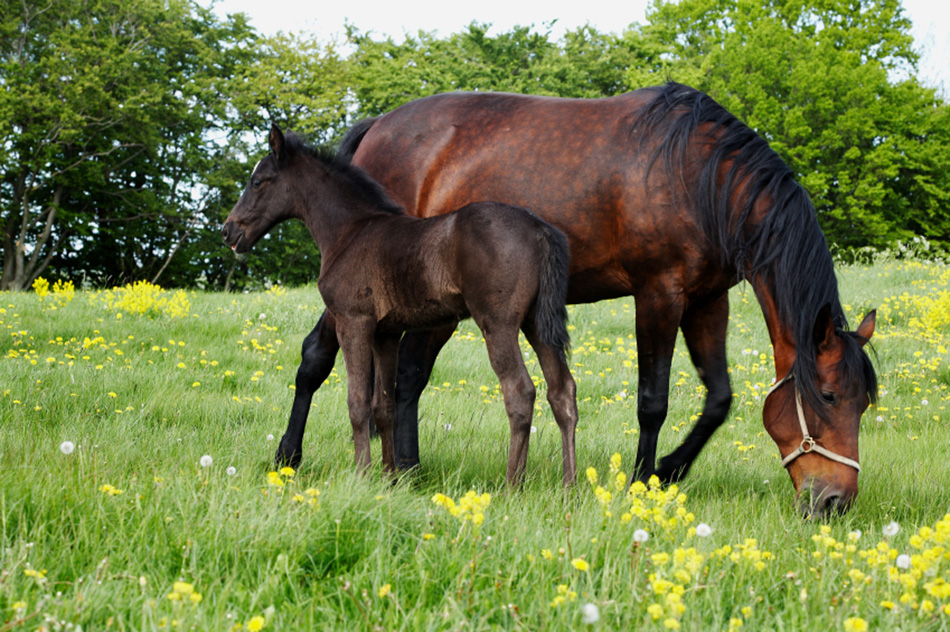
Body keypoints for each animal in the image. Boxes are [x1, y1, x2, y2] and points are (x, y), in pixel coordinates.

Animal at [225, 126, 580, 486]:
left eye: (258, 181)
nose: (229, 231)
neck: (349, 231)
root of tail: (540, 229)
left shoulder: (353, 321)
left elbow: (357, 403)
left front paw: (361, 477)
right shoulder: (386, 333)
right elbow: (384, 407)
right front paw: (389, 479)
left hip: (498, 323)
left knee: (520, 392)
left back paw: (512, 486)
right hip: (536, 323)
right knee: (562, 392)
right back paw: (569, 485)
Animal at [274, 82, 876, 520]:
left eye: (864, 403)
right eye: (826, 395)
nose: (835, 503)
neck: (701, 176)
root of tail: (377, 126)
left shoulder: (708, 300)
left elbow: (720, 398)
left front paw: (671, 470)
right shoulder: (658, 292)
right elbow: (653, 400)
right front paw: (642, 479)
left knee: (405, 378)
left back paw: (407, 471)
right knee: (318, 357)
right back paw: (290, 457)